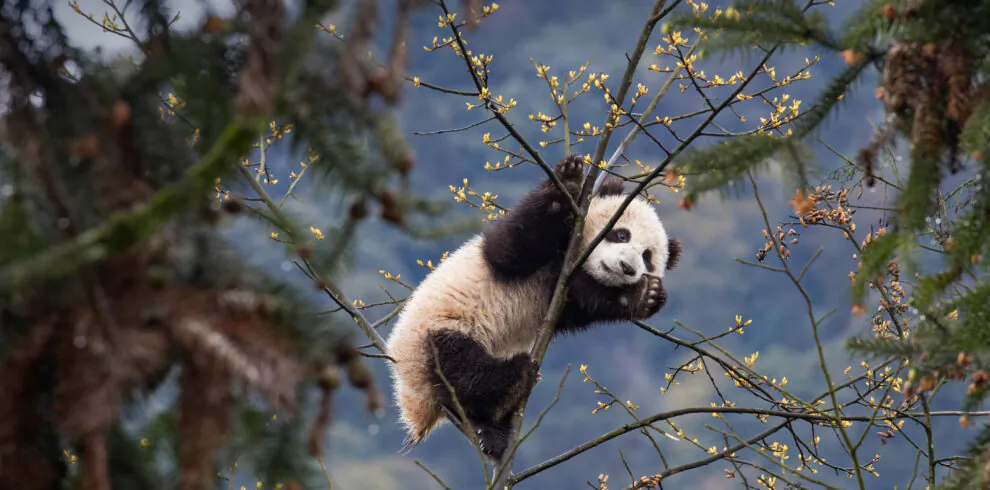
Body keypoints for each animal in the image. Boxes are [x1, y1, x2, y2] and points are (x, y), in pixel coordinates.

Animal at [384, 154, 682, 460]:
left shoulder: (562, 291)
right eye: (622, 235)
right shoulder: (518, 252)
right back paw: (509, 390)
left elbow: (585, 301)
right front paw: (569, 180)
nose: (627, 267)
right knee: (464, 370)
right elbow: (512, 248)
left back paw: (494, 427)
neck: (572, 255)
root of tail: (416, 405)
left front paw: (645, 295)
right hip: (435, 335)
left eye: (647, 258)